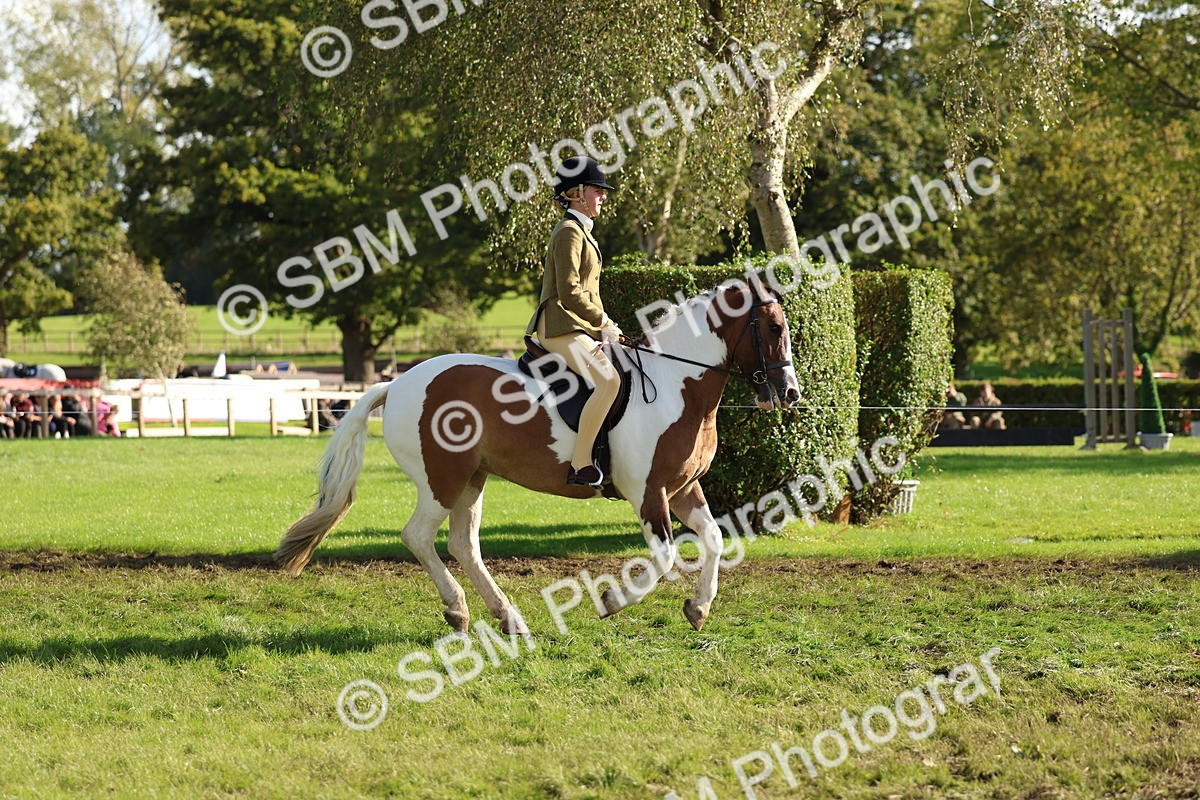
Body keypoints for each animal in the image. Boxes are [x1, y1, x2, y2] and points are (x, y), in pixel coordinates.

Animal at [277, 280, 800, 633]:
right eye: (774, 327)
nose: (790, 392)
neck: (677, 385)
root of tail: (398, 383)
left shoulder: (683, 489)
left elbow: (714, 538)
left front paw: (699, 608)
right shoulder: (649, 493)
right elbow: (667, 556)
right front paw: (612, 601)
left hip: (472, 480)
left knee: (463, 544)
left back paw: (506, 617)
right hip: (441, 481)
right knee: (419, 536)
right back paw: (458, 609)